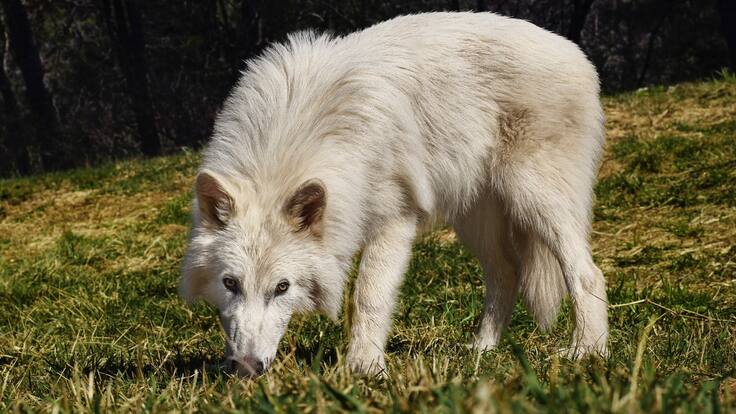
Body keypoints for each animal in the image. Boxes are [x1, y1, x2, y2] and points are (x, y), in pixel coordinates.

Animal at [180, 12, 608, 377]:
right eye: (230, 283)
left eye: (282, 287)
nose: (246, 368)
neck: (296, 136)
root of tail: (575, 52)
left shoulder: (395, 221)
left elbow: (368, 295)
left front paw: (365, 368)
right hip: (475, 220)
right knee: (507, 274)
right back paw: (483, 350)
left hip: (536, 201)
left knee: (587, 273)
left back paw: (588, 351)